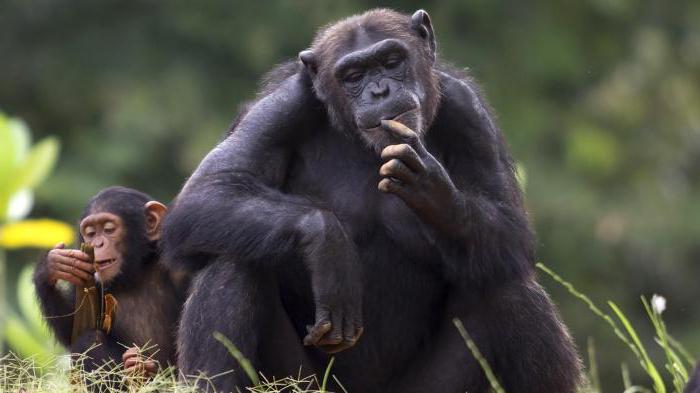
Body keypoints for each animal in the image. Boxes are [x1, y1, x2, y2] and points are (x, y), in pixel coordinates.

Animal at [33, 187, 187, 376]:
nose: (97, 243)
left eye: (108, 229)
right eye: (90, 233)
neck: (138, 270)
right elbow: (72, 330)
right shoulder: (87, 275)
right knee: (91, 339)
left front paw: (144, 368)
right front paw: (51, 265)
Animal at [163, 7, 580, 390]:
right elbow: (212, 188)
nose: (379, 90)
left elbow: (509, 229)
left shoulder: (469, 111)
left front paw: (433, 190)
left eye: (391, 61)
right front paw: (330, 247)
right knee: (233, 261)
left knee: (507, 286)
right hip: (295, 382)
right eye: (353, 76)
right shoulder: (280, 107)